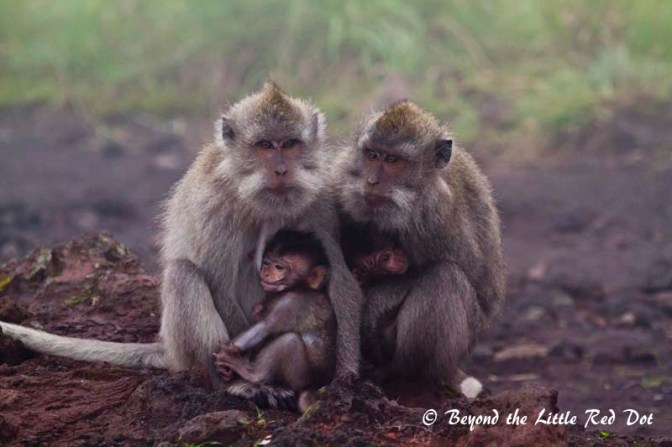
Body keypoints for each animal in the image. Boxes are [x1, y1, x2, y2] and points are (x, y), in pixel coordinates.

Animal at [213, 230, 335, 412]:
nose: (266, 272)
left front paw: (226, 362)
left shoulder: (293, 304)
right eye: (267, 262)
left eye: (279, 267)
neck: (298, 288)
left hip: (300, 378)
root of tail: (313, 387)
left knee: (290, 340)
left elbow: (264, 328)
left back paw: (252, 374)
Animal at [332, 100, 506, 398]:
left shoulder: (436, 215)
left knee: (443, 278)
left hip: (466, 337)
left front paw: (376, 301)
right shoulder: (340, 178)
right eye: (372, 155)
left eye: (392, 161)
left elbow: (462, 272)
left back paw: (402, 370)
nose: (372, 181)